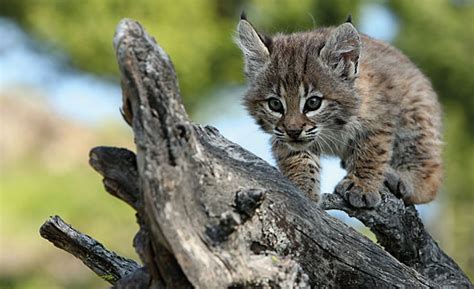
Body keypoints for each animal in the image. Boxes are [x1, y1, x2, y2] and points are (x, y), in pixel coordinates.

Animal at [239, 15, 442, 207]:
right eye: (275, 104)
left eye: (313, 103)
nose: (293, 131)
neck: (332, 127)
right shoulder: (280, 134)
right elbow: (296, 157)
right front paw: (302, 190)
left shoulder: (379, 118)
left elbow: (371, 152)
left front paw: (361, 186)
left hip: (414, 114)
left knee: (431, 168)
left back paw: (404, 179)